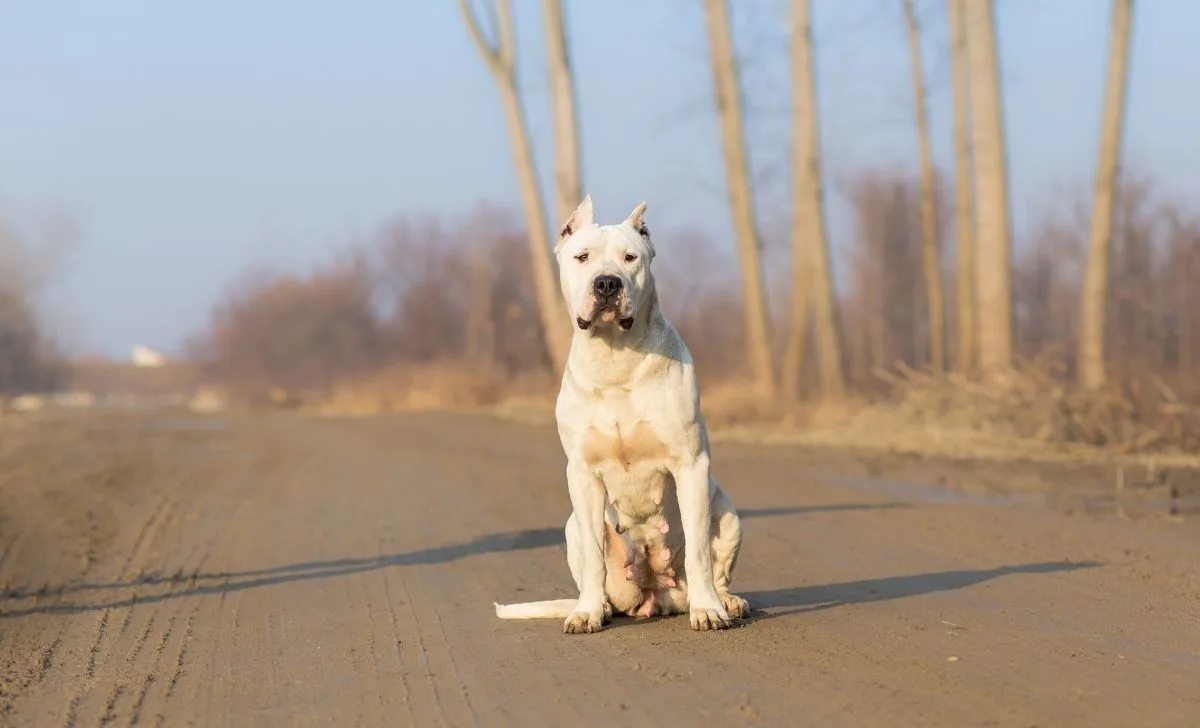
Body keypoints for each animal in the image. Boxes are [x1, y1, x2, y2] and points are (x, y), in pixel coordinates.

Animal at [492, 197, 744, 633]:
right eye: (582, 257)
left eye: (631, 258)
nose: (607, 283)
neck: (615, 359)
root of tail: (655, 595)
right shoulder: (582, 474)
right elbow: (595, 557)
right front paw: (588, 613)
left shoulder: (691, 464)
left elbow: (698, 550)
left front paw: (708, 610)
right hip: (570, 527)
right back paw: (600, 606)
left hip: (728, 512)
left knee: (716, 567)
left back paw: (726, 601)